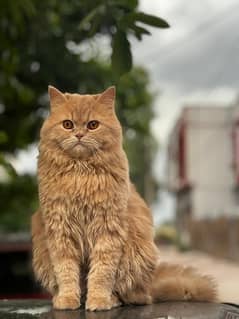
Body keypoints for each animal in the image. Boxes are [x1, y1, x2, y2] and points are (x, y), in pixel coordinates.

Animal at [31, 86, 217, 312]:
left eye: (93, 125)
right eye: (68, 124)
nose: (79, 134)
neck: (80, 173)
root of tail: (149, 286)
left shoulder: (108, 230)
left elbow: (101, 273)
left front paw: (98, 300)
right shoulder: (60, 232)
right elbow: (66, 272)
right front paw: (67, 299)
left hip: (136, 258)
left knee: (131, 296)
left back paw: (112, 300)